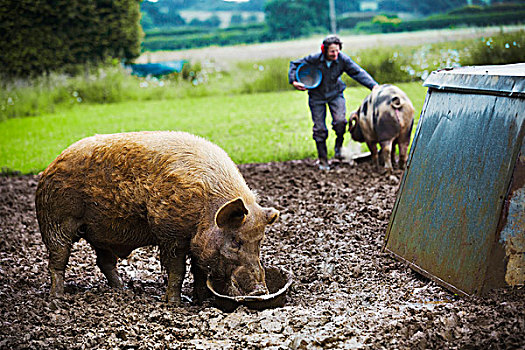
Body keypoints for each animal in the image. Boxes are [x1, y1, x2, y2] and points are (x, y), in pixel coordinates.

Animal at [35, 130, 278, 304]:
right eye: (236, 241)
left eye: (260, 242)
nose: (260, 290)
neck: (206, 210)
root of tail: (49, 167)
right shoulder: (171, 233)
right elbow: (177, 270)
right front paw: (174, 303)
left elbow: (199, 271)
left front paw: (201, 301)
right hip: (55, 220)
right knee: (57, 261)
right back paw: (57, 299)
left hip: (100, 233)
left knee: (104, 262)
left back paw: (122, 291)